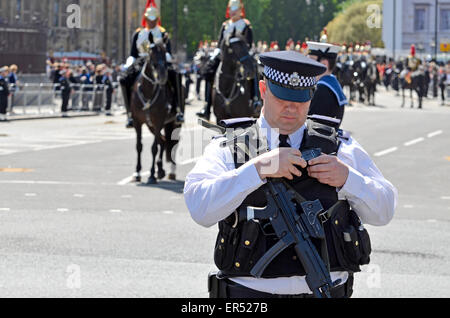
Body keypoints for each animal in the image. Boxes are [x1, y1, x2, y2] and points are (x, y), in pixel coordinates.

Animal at [128, 34, 181, 184]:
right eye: (151, 53)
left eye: (164, 52)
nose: (163, 76)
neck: (148, 91)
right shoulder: (138, 122)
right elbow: (139, 146)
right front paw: (137, 173)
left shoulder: (158, 122)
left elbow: (153, 148)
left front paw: (151, 174)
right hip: (151, 125)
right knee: (163, 141)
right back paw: (161, 170)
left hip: (173, 123)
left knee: (172, 144)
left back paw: (170, 172)